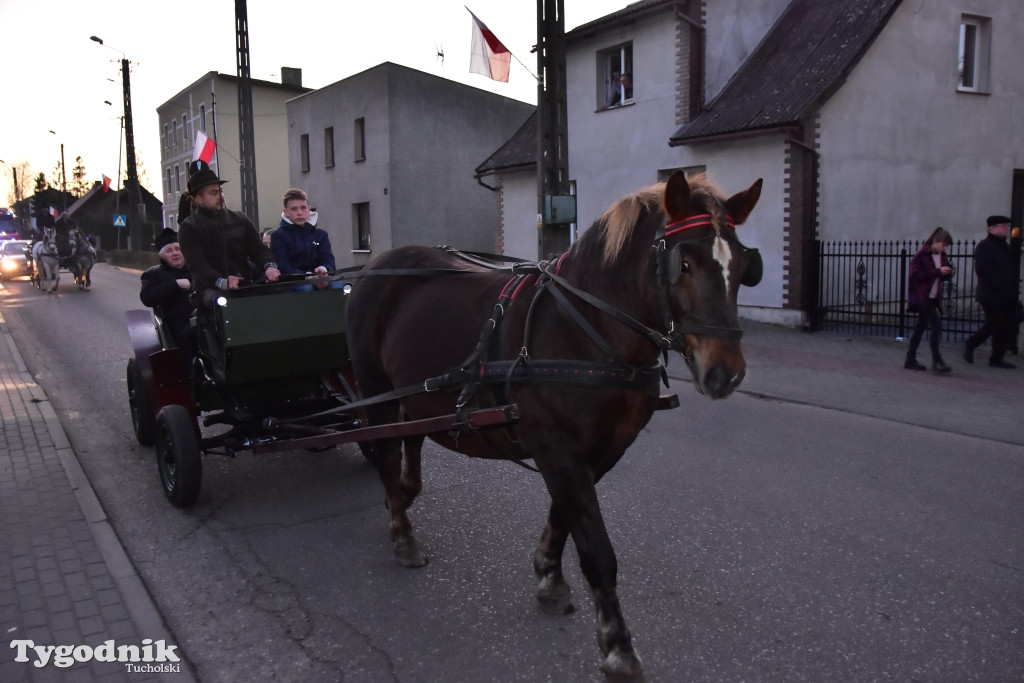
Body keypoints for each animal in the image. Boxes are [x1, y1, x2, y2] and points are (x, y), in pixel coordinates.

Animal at [344, 171, 761, 679]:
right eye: (684, 263)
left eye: (744, 266)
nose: (726, 372)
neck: (588, 330)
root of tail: (377, 264)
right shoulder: (560, 451)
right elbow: (597, 549)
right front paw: (618, 647)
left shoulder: (599, 452)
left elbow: (564, 518)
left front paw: (548, 577)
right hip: (374, 387)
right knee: (384, 454)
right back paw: (402, 533)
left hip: (414, 395)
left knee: (410, 442)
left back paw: (403, 499)